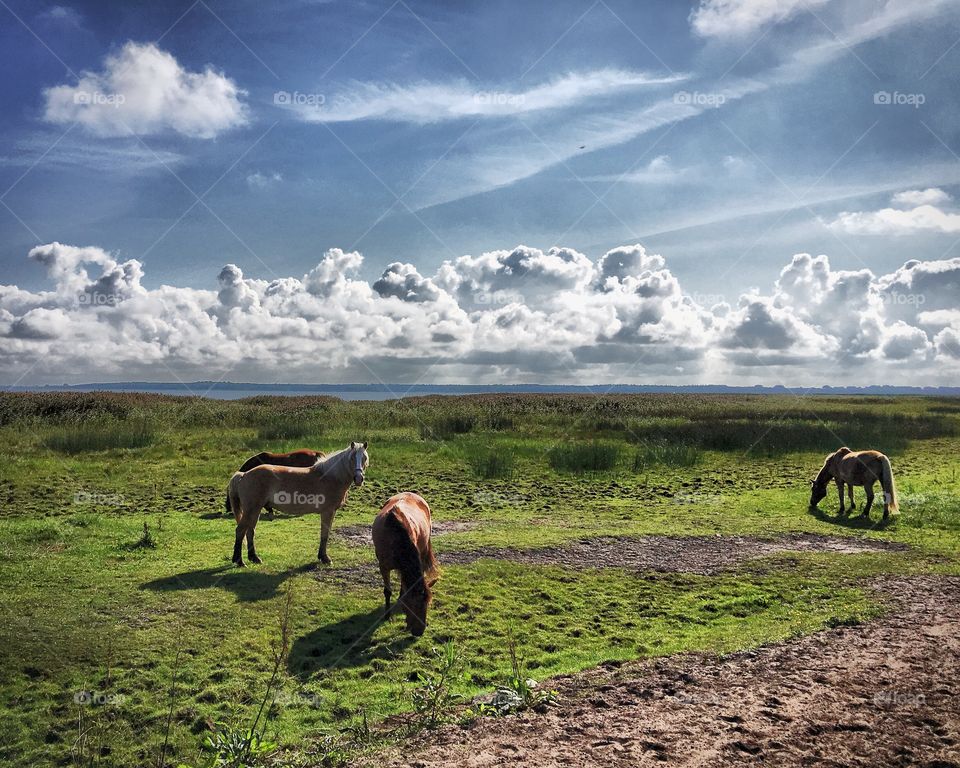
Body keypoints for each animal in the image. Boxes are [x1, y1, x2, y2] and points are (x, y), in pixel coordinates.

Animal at [226, 442, 368, 567]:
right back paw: (239, 561)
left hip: (255, 510)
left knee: (250, 531)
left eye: (364, 458)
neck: (330, 476)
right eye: (352, 458)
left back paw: (254, 558)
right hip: (251, 510)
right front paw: (325, 558)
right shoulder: (328, 512)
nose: (359, 479)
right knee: (240, 531)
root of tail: (244, 474)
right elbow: (325, 534)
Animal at [372, 492, 439, 637]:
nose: (419, 632)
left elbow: (403, 590)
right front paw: (388, 616)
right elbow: (388, 591)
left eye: (427, 604)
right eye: (412, 606)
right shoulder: (384, 567)